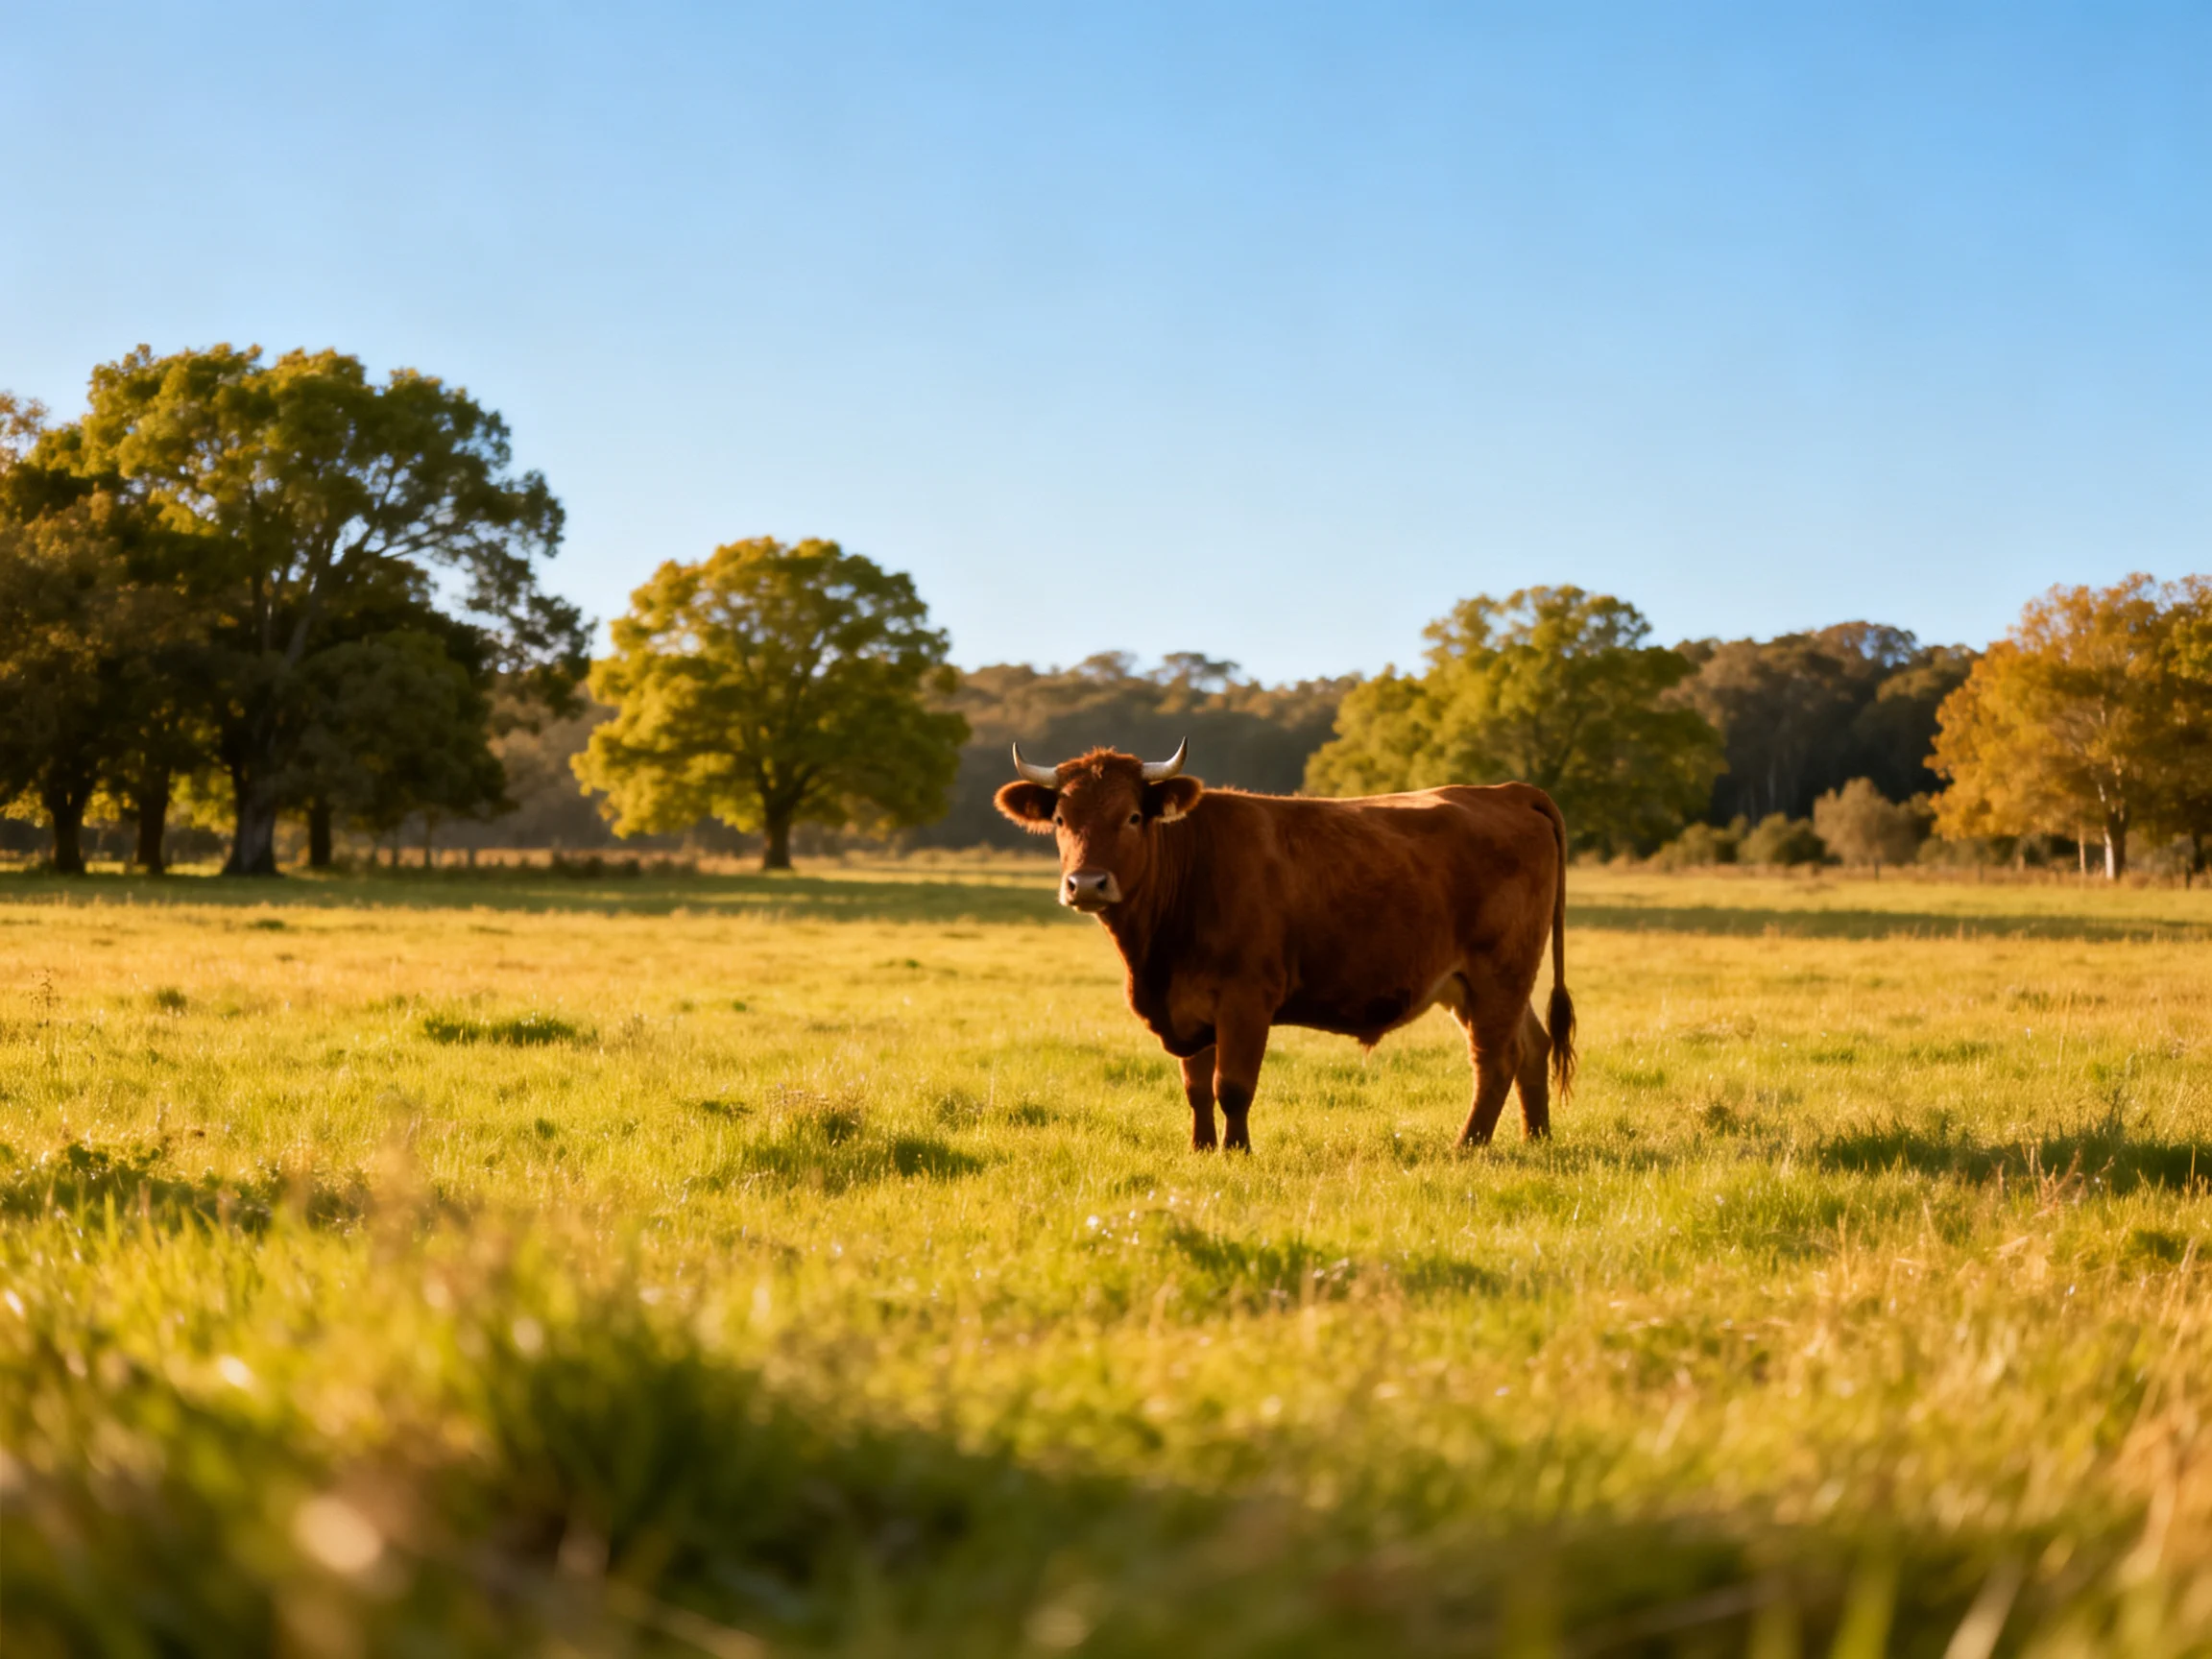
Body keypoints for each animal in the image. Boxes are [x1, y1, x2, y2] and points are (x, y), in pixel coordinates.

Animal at [994, 741, 1575, 1153]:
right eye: (1061, 820)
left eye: (1133, 817)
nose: (1086, 884)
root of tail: (1506, 790)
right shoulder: (1190, 1006)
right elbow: (1196, 1087)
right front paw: (1201, 1149)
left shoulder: (1247, 998)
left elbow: (1232, 1085)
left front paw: (1238, 1152)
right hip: (1474, 984)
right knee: (1532, 1046)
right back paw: (1536, 1139)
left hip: (1499, 970)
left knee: (1495, 1058)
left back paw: (1467, 1146)